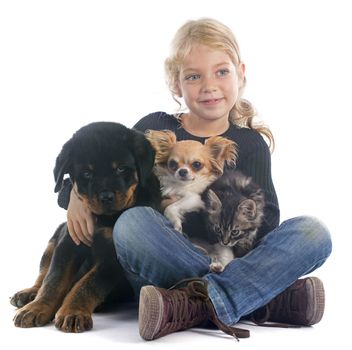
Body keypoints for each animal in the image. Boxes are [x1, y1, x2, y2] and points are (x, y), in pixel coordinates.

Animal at [9, 121, 161, 332]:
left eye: (121, 169)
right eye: (87, 174)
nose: (106, 197)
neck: (105, 218)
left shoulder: (112, 258)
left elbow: (87, 285)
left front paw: (72, 312)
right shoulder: (68, 242)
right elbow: (53, 279)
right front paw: (37, 308)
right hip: (56, 235)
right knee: (43, 271)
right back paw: (28, 294)